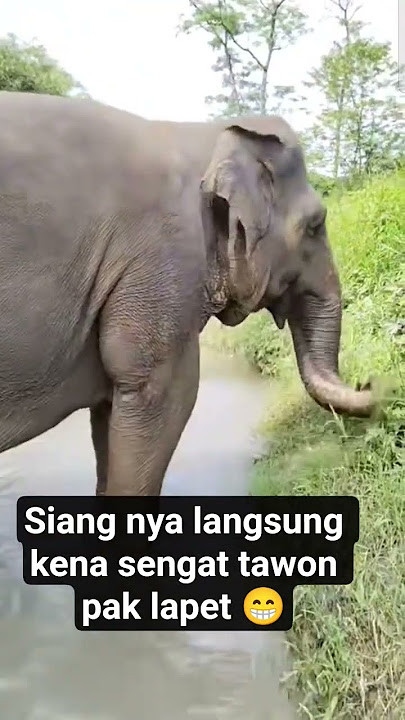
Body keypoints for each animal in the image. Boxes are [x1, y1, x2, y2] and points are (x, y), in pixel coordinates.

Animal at [0, 91, 374, 496]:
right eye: (315, 225)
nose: (371, 382)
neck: (205, 135)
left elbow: (111, 407)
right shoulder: (165, 261)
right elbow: (164, 395)